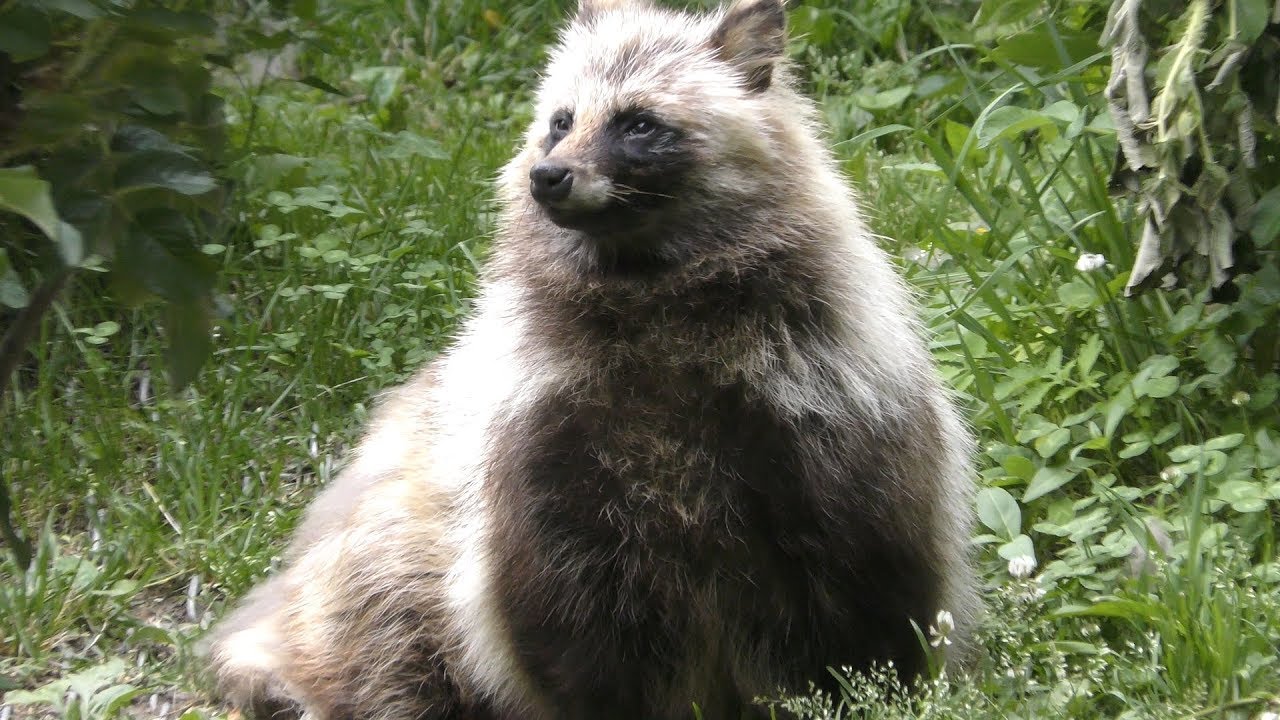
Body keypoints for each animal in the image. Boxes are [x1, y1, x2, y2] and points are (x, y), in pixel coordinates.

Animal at [205, 0, 979, 718]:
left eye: (638, 123)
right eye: (560, 119)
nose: (546, 176)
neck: (649, 284)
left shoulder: (830, 420)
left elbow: (861, 604)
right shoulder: (540, 455)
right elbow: (569, 627)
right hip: (380, 557)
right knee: (392, 634)